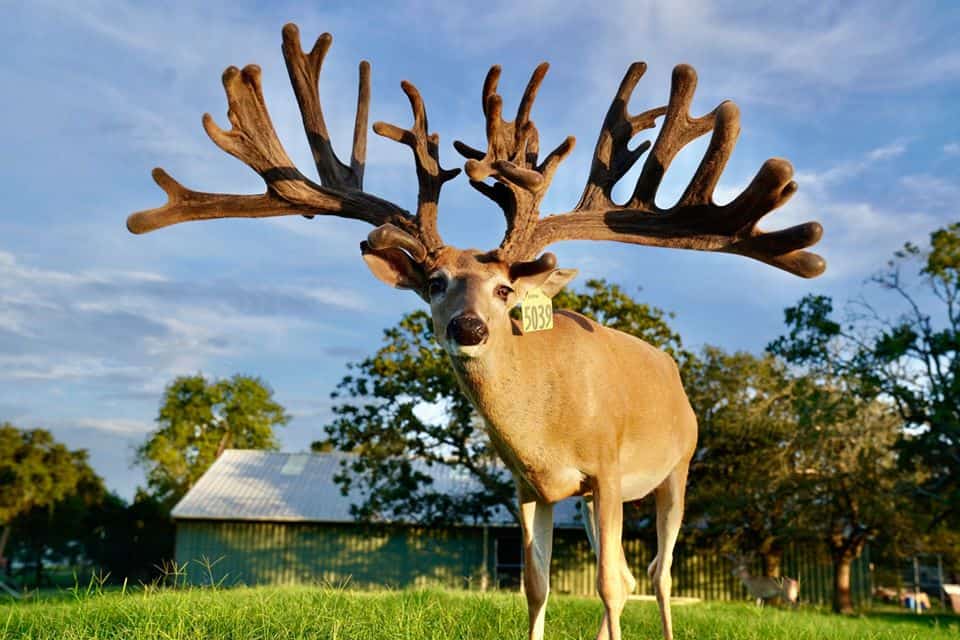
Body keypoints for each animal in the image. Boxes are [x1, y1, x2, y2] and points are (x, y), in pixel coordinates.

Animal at [126, 24, 825, 640]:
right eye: (435, 283)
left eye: (505, 290)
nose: (468, 326)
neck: (547, 422)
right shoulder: (529, 485)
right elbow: (538, 585)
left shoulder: (603, 468)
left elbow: (605, 582)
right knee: (630, 575)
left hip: (676, 466)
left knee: (657, 573)